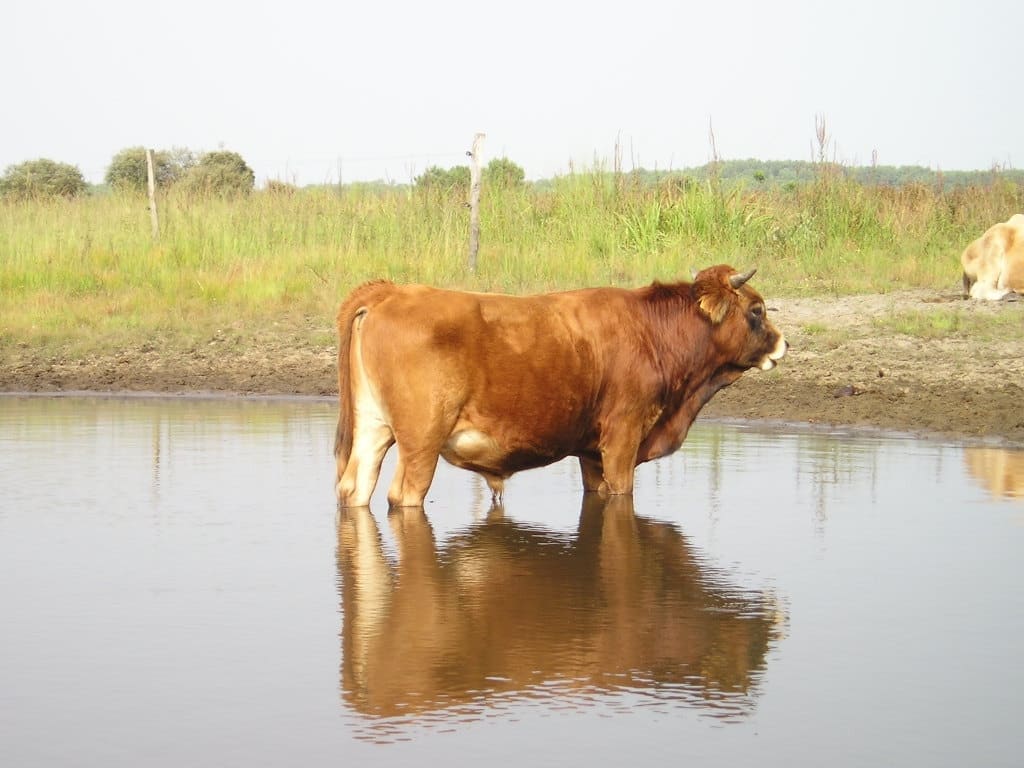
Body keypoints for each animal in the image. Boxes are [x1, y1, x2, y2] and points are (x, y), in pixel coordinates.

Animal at [334, 264, 787, 507]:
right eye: (757, 309)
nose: (784, 342)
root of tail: (391, 292)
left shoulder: (591, 452)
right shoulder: (622, 435)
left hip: (373, 427)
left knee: (355, 487)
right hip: (422, 441)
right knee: (402, 495)